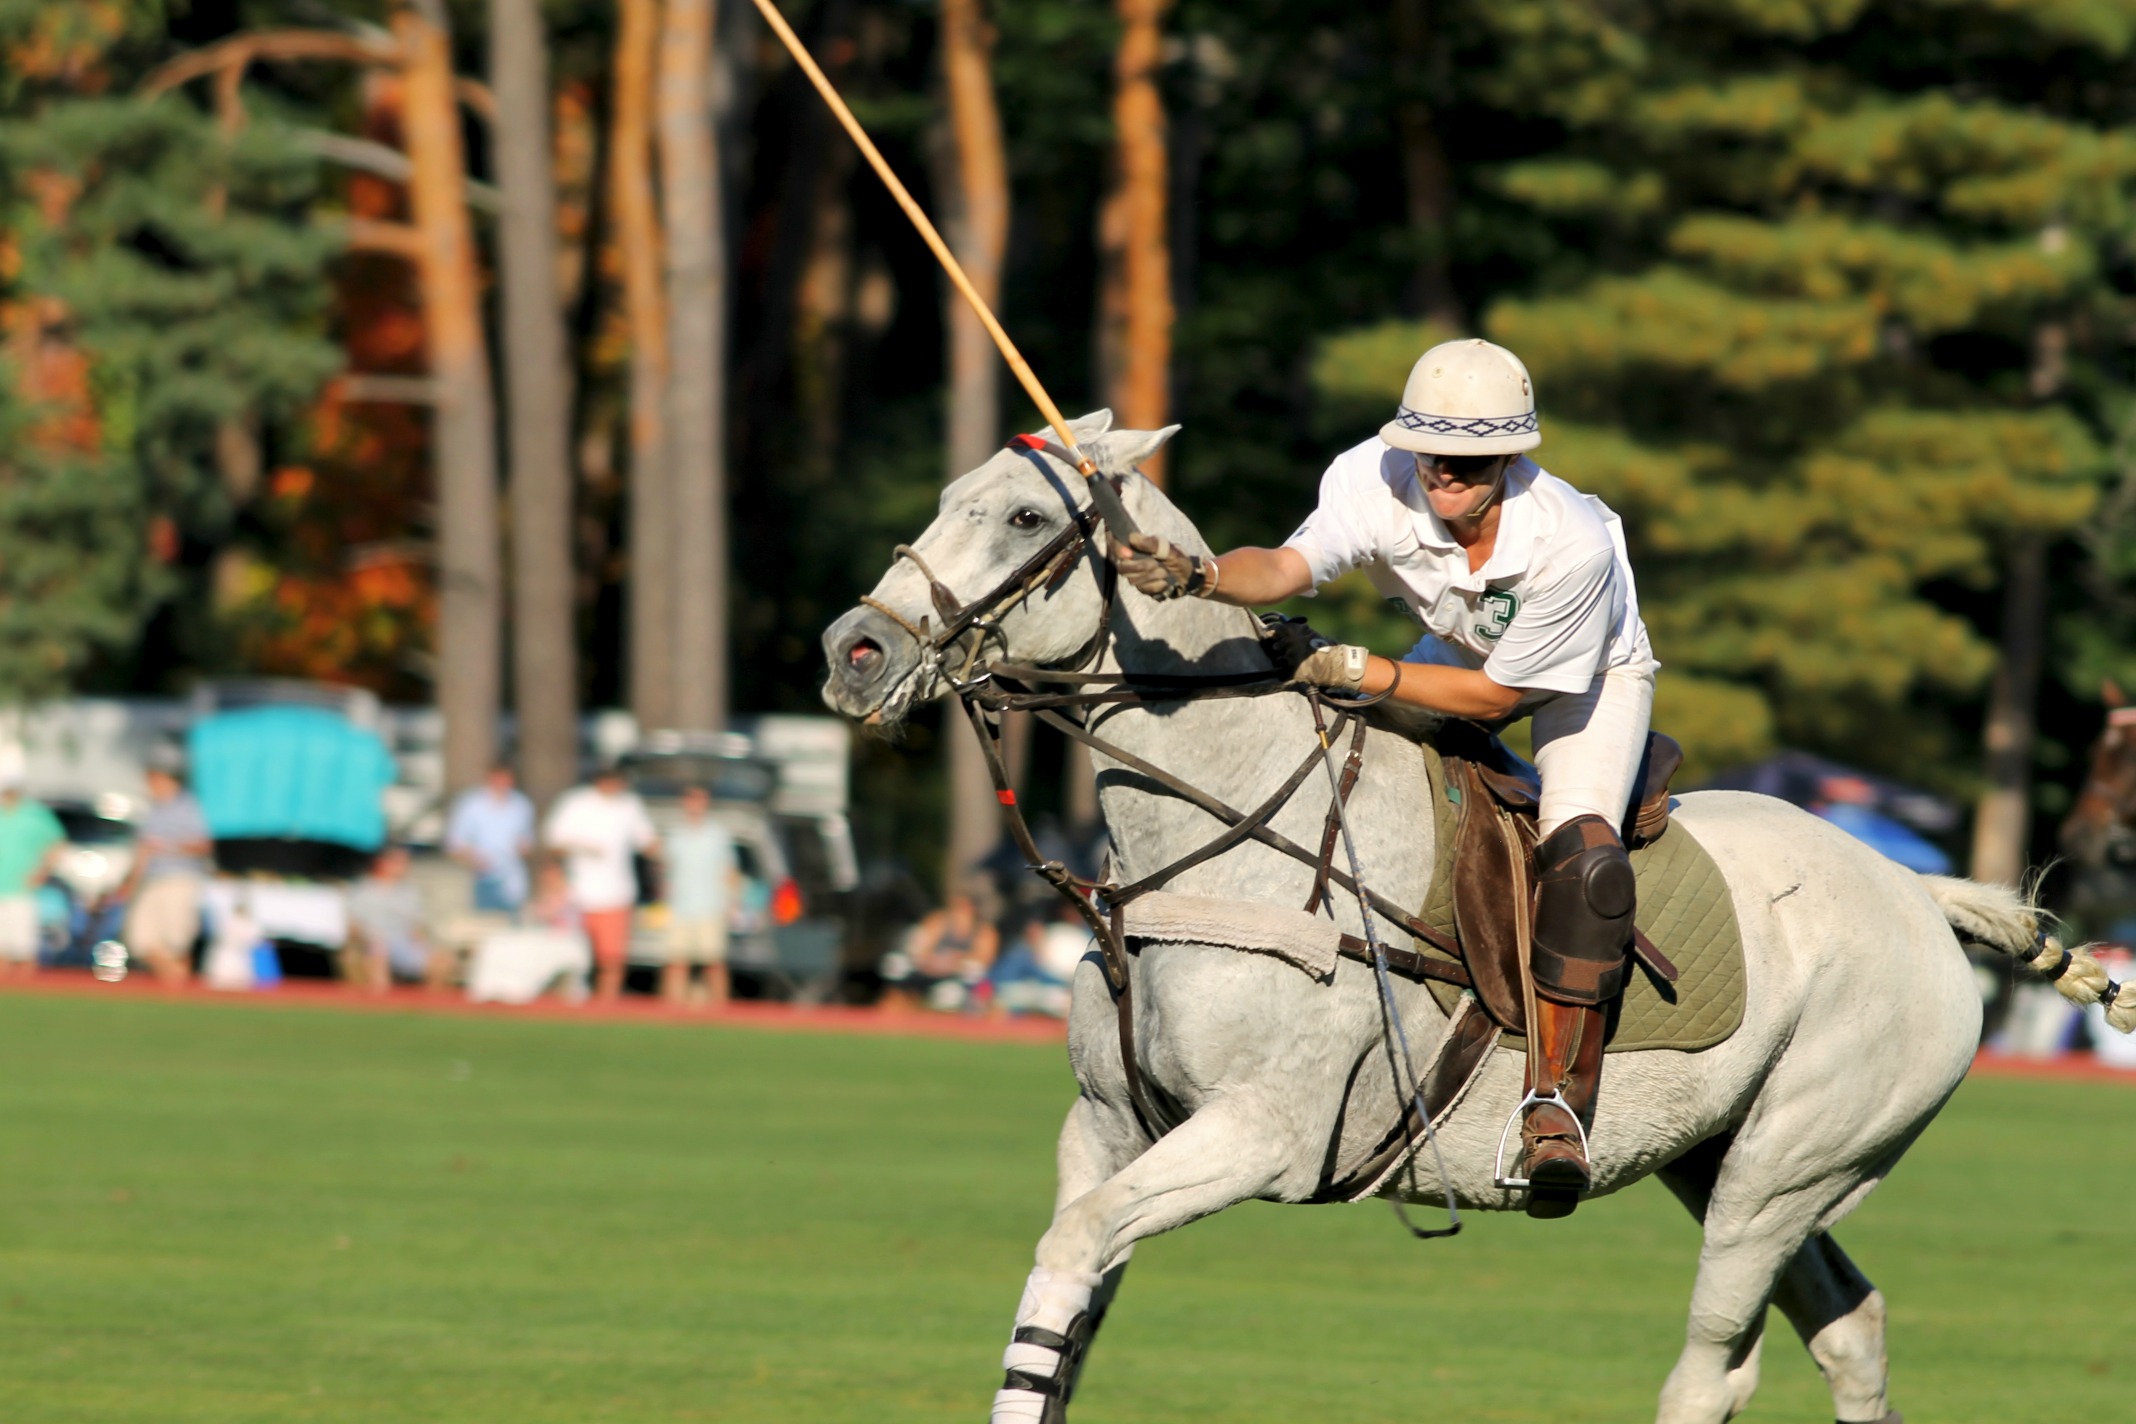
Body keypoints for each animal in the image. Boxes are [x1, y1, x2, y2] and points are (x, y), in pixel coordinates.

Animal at [820, 412, 2114, 1424]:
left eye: (1023, 519)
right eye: (949, 497)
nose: (854, 648)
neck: (1217, 828)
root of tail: (1914, 888)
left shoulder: (1261, 1132)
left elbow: (1071, 1251)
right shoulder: (1106, 1126)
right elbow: (1067, 1306)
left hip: (1791, 1167)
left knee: (1714, 1367)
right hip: (1723, 1153)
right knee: (1851, 1323)